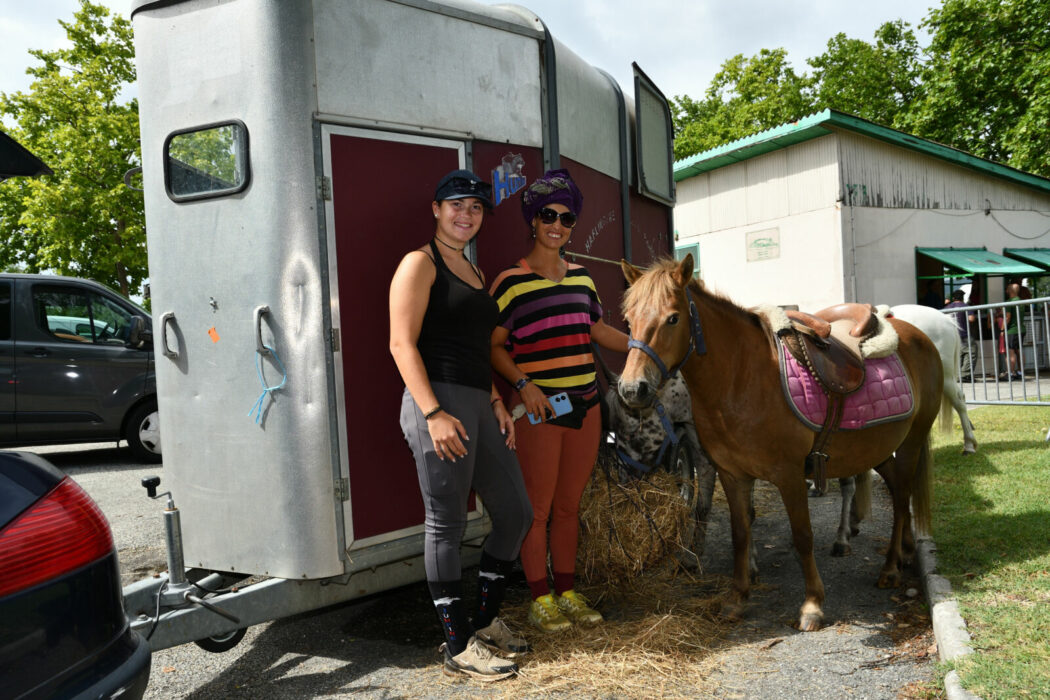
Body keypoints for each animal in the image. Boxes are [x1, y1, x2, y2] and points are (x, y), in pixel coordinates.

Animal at [617, 256, 940, 629]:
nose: (632, 389)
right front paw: (737, 598)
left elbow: (802, 536)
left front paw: (812, 604)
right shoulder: (732, 475)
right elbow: (740, 533)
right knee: (898, 489)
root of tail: (917, 334)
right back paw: (904, 553)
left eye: (673, 317)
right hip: (877, 449)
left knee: (902, 498)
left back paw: (889, 568)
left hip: (911, 441)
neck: (742, 379)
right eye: (628, 320)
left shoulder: (789, 475)